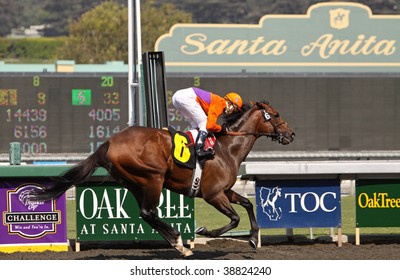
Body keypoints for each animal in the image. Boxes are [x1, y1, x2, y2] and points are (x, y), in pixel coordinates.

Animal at [30, 99, 294, 258]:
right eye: (276, 114)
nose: (291, 134)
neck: (227, 149)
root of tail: (110, 142)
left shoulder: (225, 190)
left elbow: (247, 204)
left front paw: (253, 238)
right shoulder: (212, 194)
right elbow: (234, 218)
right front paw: (205, 231)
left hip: (134, 183)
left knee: (147, 214)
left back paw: (178, 244)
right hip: (152, 178)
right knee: (148, 212)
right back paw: (178, 241)